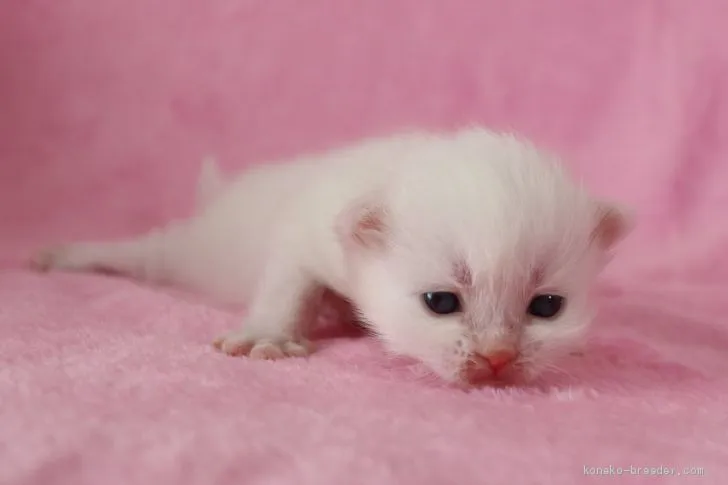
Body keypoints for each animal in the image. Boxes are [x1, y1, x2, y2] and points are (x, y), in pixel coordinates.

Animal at [31, 127, 628, 386]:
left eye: (546, 307)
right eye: (440, 302)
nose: (499, 359)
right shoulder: (305, 231)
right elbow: (287, 282)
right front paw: (269, 336)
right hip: (188, 251)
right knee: (146, 254)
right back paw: (64, 255)